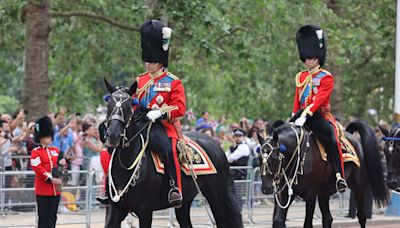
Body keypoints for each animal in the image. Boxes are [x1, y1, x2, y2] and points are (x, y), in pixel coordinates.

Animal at [101, 79, 242, 227]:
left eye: (128, 108)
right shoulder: (116, 210)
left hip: (216, 198)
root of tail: (216, 144)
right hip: (185, 203)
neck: (126, 164)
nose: (113, 136)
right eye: (108, 106)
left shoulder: (145, 211)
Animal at [258, 120, 390, 227]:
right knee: (327, 219)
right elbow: (278, 221)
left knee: (361, 216)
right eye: (259, 158)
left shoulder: (310, 195)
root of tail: (351, 137)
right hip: (323, 192)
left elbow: (307, 223)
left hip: (358, 186)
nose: (265, 188)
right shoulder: (286, 193)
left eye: (274, 158)